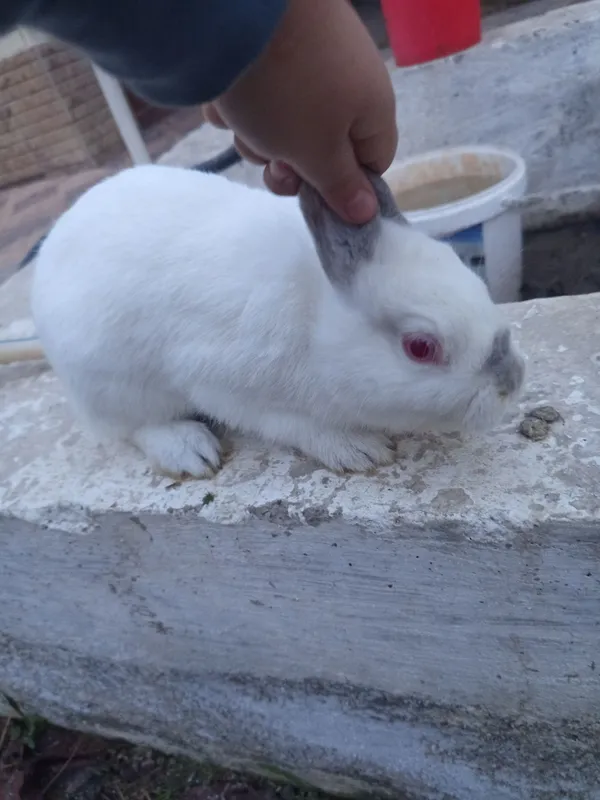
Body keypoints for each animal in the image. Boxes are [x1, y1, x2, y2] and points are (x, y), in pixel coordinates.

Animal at [30, 163, 525, 475]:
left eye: (473, 278)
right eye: (420, 347)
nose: (513, 379)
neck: (317, 320)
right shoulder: (224, 386)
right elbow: (293, 425)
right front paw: (359, 450)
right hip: (112, 385)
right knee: (128, 429)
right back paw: (189, 451)